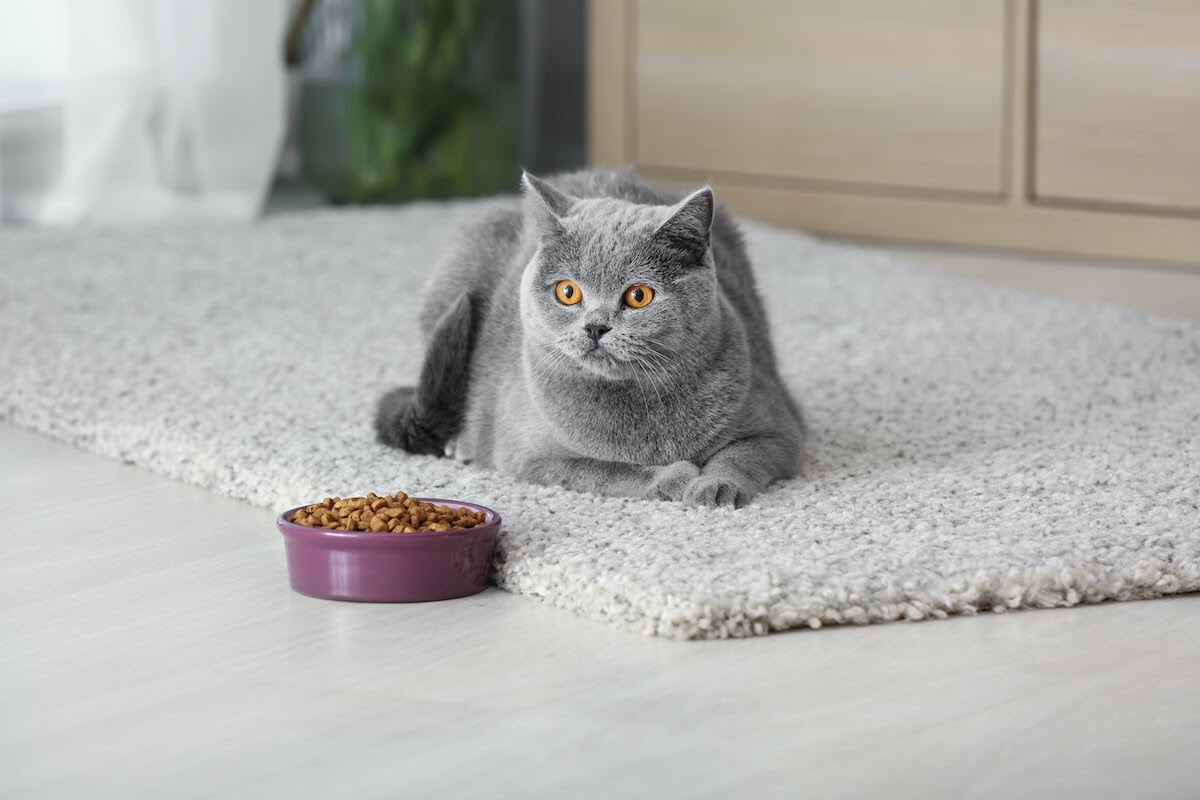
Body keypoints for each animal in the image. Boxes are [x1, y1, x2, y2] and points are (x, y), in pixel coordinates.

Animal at [376, 169, 806, 506]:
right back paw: (462, 442)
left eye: (638, 295)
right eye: (568, 292)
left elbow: (741, 456)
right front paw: (675, 477)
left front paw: (713, 486)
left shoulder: (781, 428)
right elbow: (609, 470)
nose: (596, 326)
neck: (639, 402)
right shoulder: (534, 459)